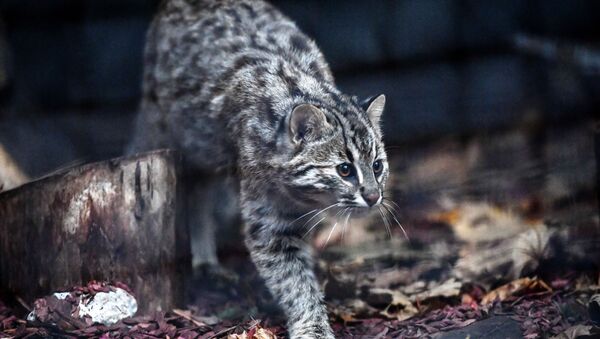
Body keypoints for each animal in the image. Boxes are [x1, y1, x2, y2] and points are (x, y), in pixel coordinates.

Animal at [127, 1, 390, 338]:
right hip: (169, 126)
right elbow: (293, 280)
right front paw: (312, 325)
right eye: (344, 169)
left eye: (377, 165)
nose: (373, 197)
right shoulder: (267, 224)